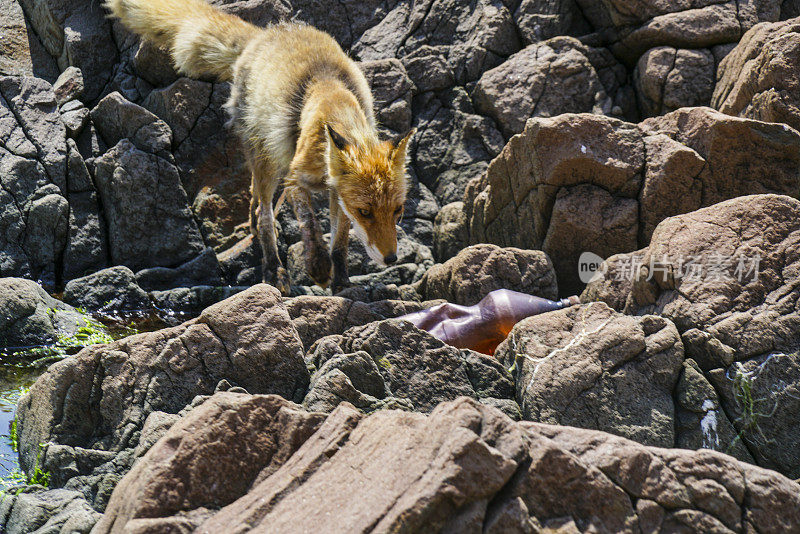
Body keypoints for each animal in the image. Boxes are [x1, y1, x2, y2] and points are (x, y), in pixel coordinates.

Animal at [104, 0, 412, 296]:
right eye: (366, 212)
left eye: (398, 210)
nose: (391, 259)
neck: (332, 99)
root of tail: (265, 33)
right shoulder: (295, 177)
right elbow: (310, 223)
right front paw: (318, 266)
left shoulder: (338, 193)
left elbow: (341, 240)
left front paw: (342, 282)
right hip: (267, 156)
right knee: (264, 214)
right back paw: (273, 269)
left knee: (256, 198)